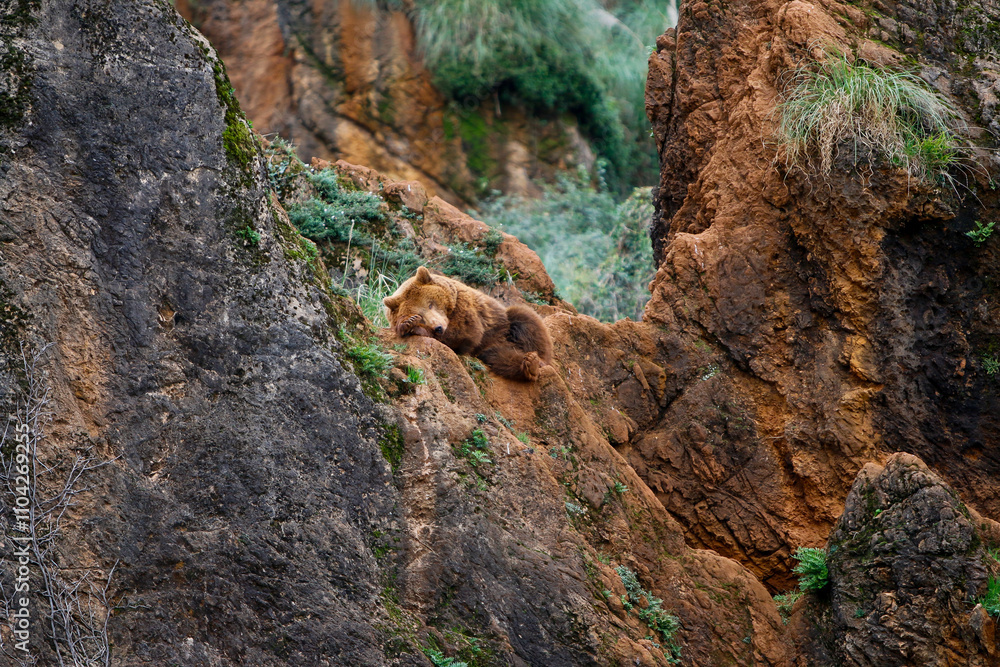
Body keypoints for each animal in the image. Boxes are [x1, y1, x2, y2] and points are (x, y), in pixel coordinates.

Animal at [382, 266, 553, 382]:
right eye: (420, 315)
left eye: (430, 304)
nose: (438, 328)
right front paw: (408, 325)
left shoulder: (466, 308)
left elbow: (465, 333)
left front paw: (416, 328)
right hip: (489, 348)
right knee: (499, 357)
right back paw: (529, 365)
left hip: (503, 324)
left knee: (525, 320)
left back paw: (537, 362)